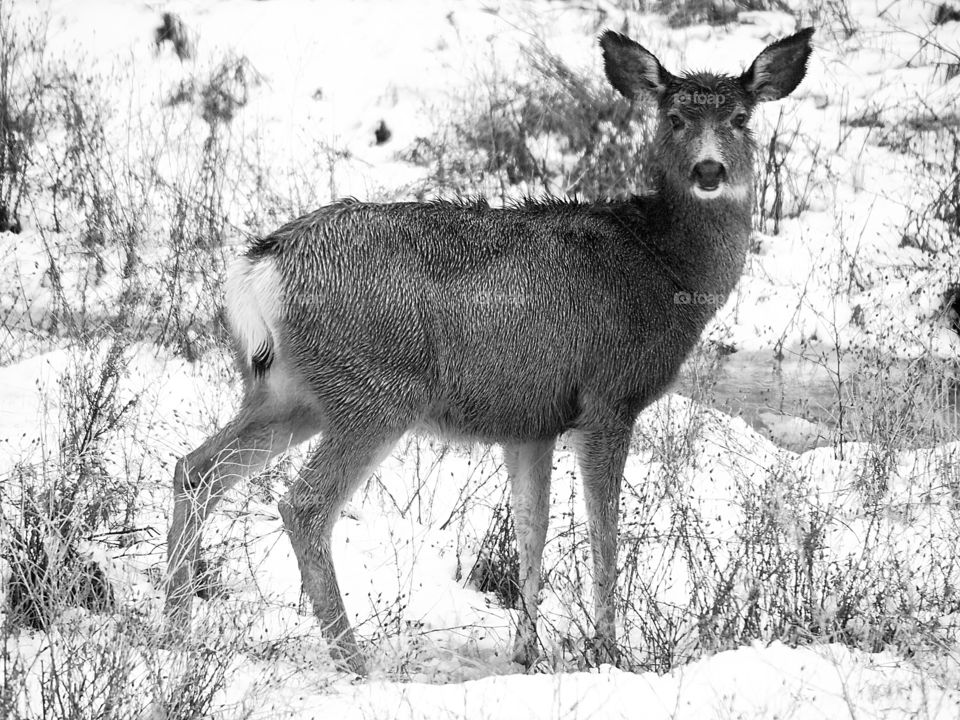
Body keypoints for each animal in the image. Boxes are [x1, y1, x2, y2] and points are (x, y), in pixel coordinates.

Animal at [165, 25, 808, 672]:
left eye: (741, 117)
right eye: (674, 117)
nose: (709, 169)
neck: (666, 266)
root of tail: (259, 268)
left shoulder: (531, 420)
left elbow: (532, 529)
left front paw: (528, 651)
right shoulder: (608, 398)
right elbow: (603, 532)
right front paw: (609, 652)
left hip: (287, 392)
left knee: (195, 469)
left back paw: (174, 628)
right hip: (374, 392)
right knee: (303, 506)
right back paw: (353, 659)